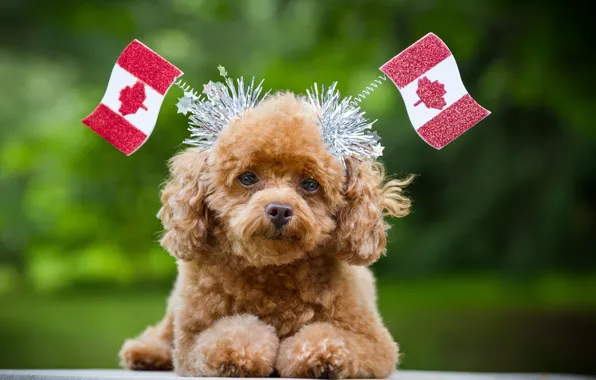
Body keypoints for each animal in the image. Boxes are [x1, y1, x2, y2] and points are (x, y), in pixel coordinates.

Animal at [118, 91, 412, 378]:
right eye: (247, 178)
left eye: (310, 184)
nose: (280, 210)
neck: (272, 269)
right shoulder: (190, 341)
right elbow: (225, 336)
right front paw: (238, 354)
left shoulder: (376, 343)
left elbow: (334, 339)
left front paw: (319, 356)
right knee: (164, 332)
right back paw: (146, 352)